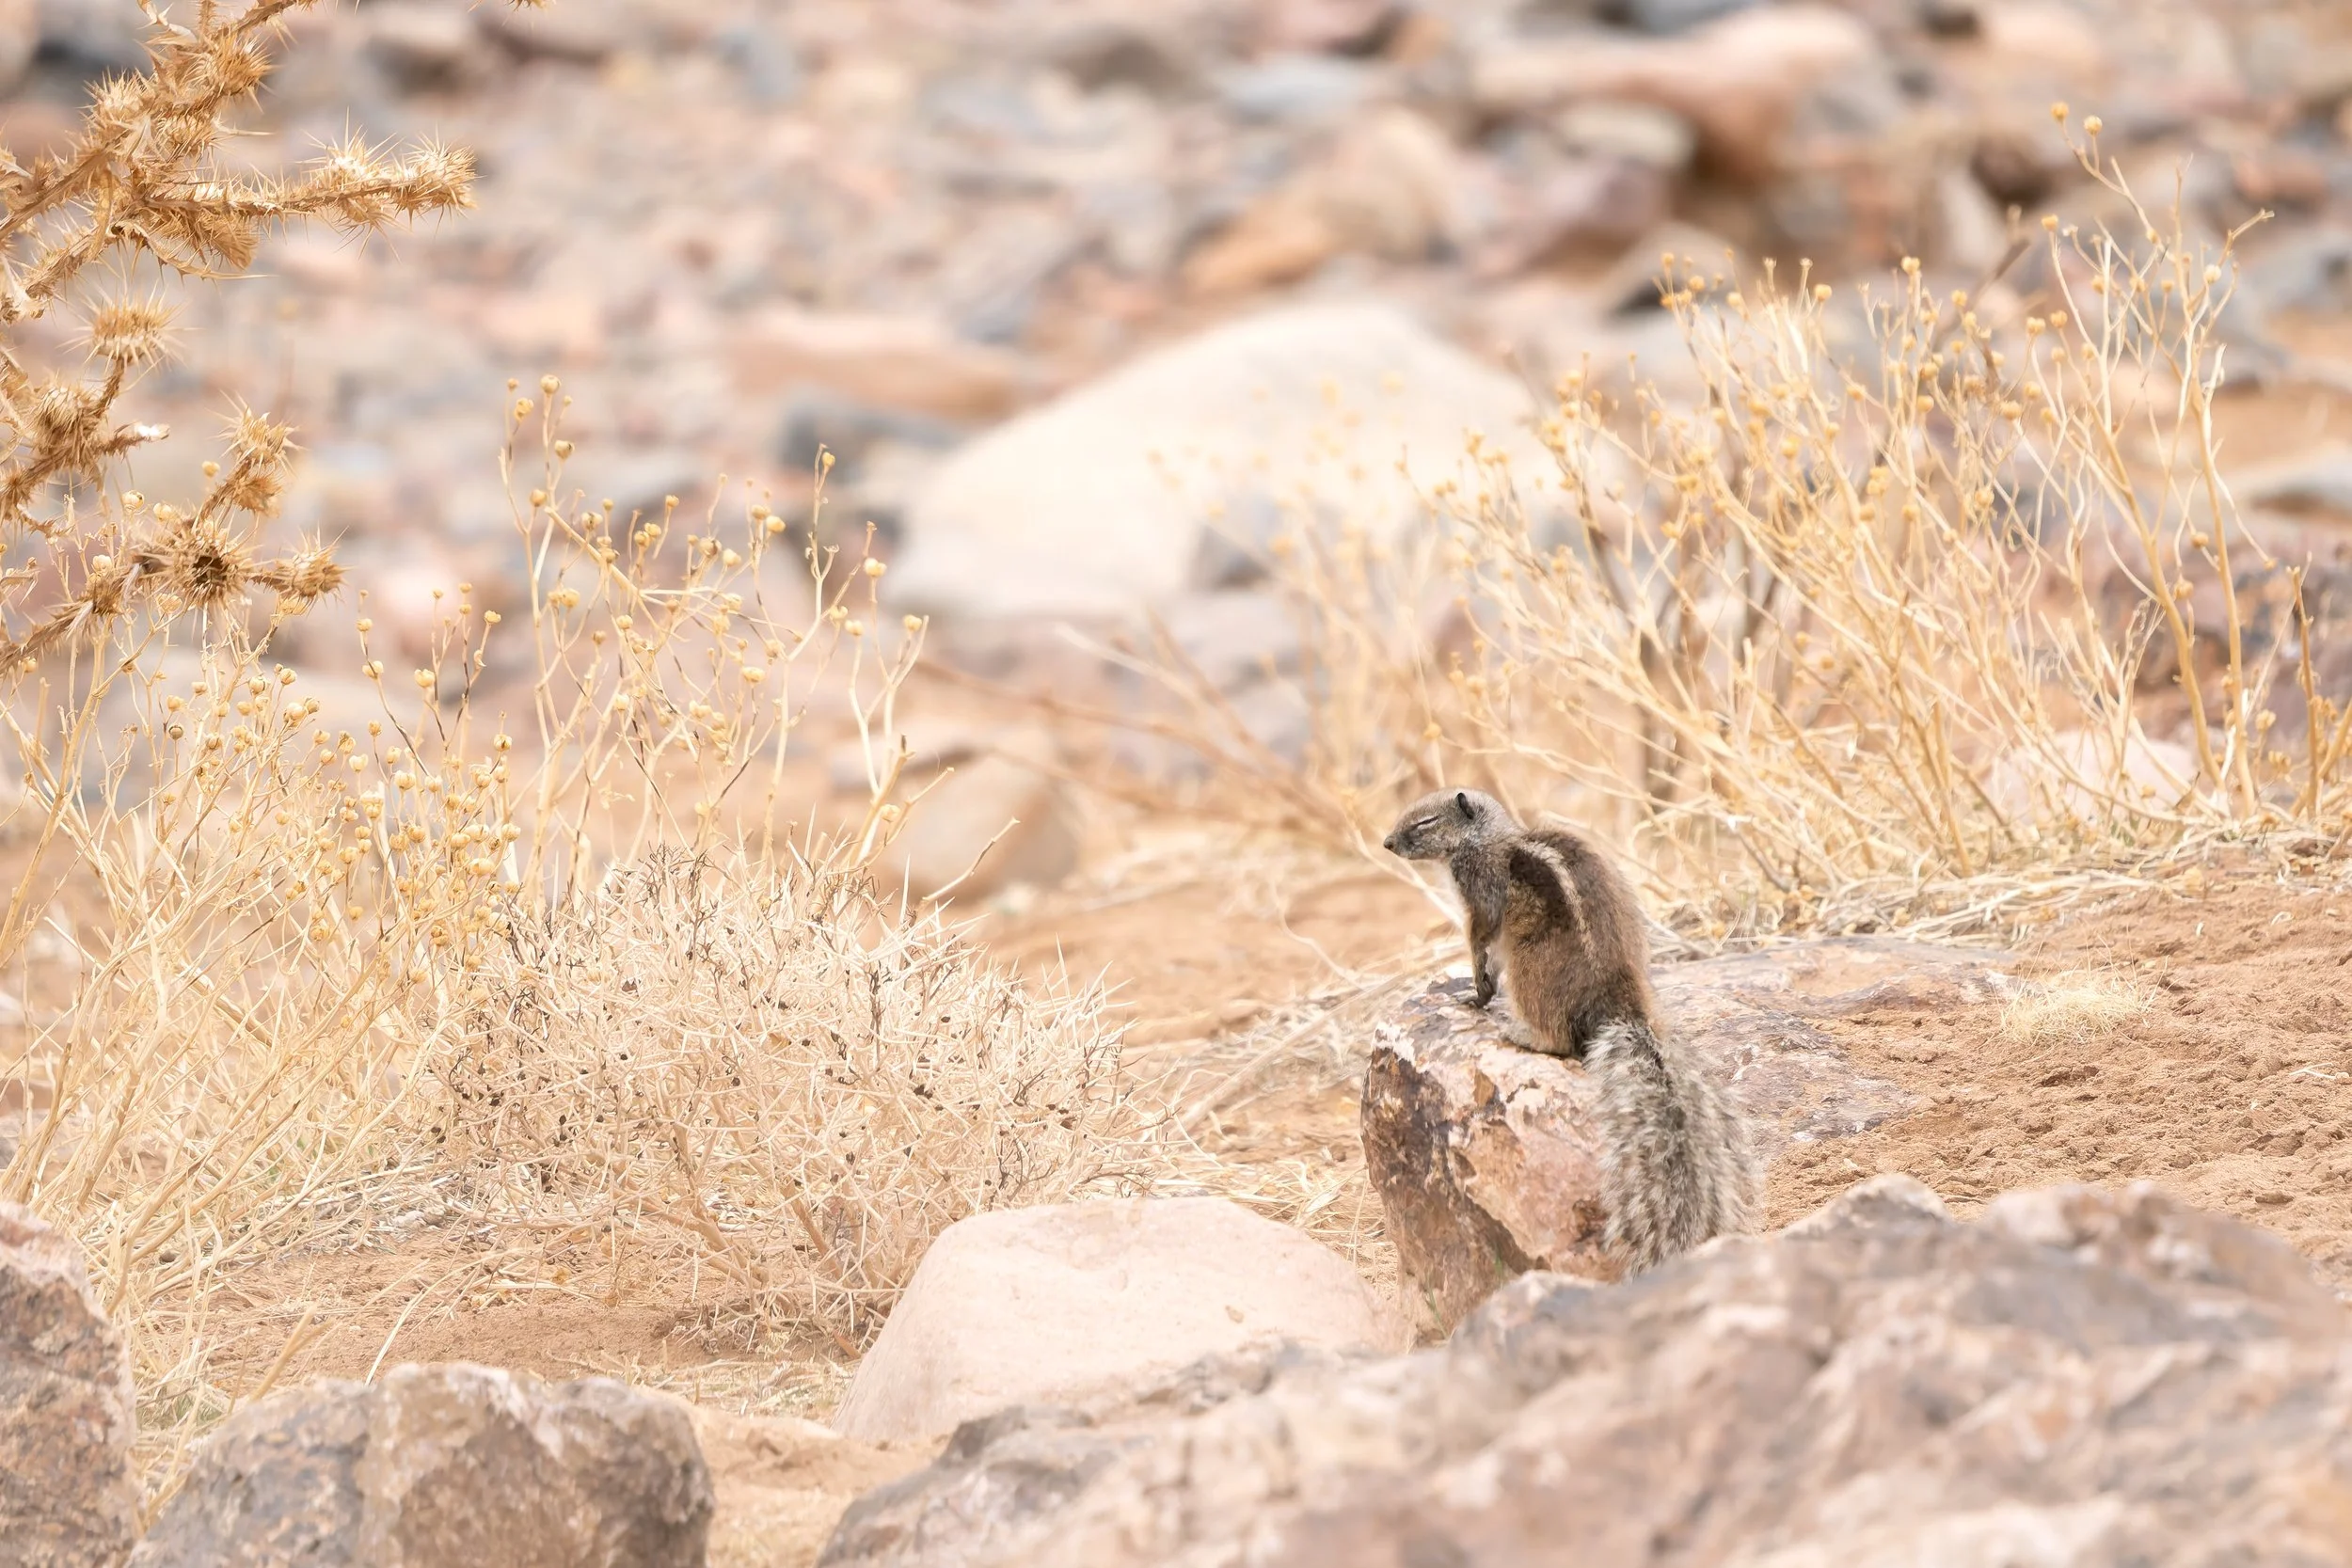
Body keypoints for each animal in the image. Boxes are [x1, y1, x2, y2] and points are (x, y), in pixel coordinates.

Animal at [1383, 788, 1756, 1274]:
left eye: (1425, 821)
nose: (1388, 842)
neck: (1488, 838)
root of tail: (1620, 1007)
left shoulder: (1480, 894)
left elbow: (1480, 942)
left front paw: (1475, 995)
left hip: (1530, 966)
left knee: (1559, 1039)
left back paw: (1521, 1033)